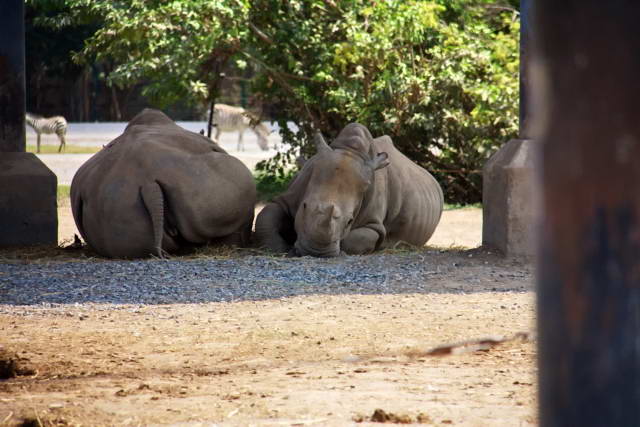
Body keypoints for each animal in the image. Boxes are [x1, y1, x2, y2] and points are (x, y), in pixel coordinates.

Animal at [252, 123, 442, 258]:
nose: (315, 252)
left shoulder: (374, 224)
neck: (350, 152)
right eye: (304, 207)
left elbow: (356, 239)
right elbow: (265, 216)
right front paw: (279, 248)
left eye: (350, 221)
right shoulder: (288, 197)